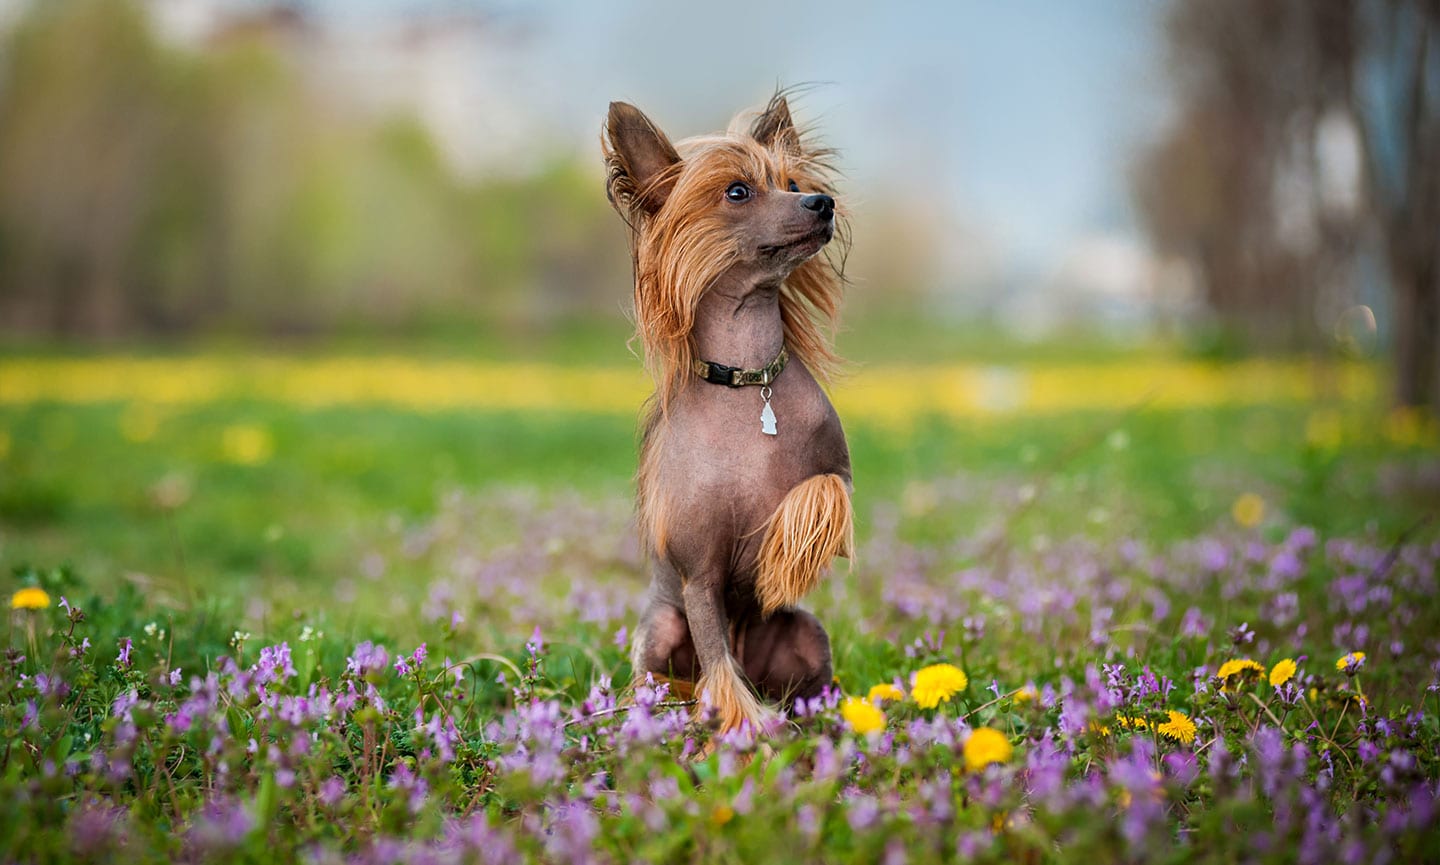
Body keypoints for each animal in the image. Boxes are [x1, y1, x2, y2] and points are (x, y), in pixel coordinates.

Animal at [599, 91, 846, 731]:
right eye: (737, 191)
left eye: (791, 182)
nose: (821, 203)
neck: (748, 383)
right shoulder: (699, 581)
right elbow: (717, 665)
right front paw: (743, 727)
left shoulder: (838, 468)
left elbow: (821, 491)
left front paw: (779, 555)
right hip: (662, 630)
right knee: (680, 673)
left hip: (807, 634)